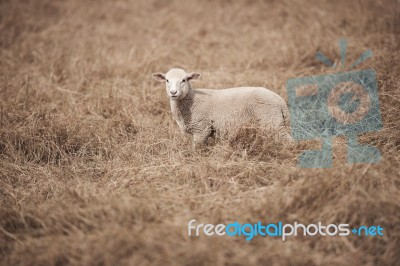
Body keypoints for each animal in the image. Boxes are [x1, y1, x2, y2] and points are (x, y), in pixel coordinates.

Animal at [152, 68, 292, 147]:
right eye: (167, 80)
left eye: (184, 80)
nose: (173, 92)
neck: (192, 99)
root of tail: (280, 101)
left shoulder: (201, 129)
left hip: (272, 121)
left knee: (288, 141)